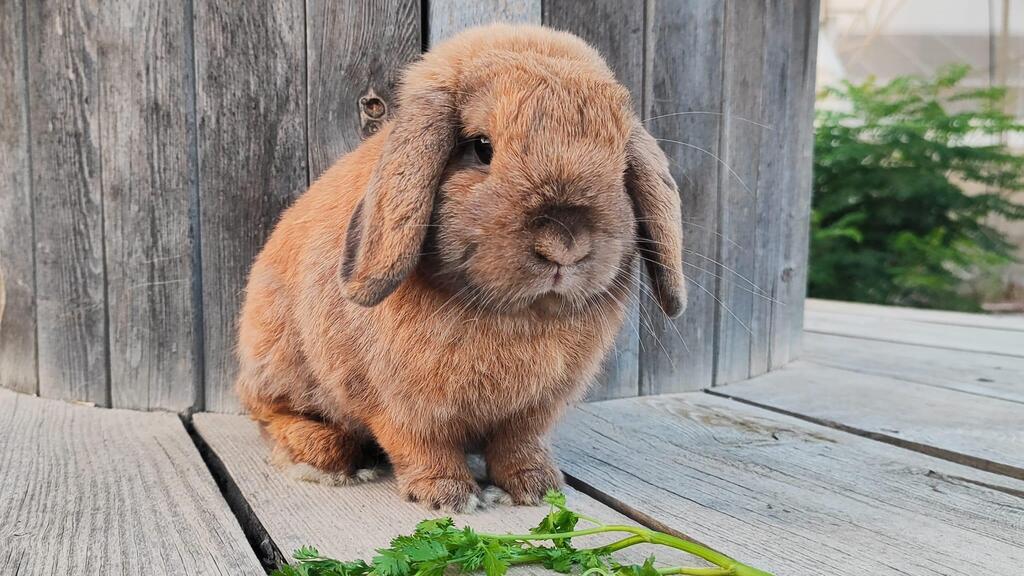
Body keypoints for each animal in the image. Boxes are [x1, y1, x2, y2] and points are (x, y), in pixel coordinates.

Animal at [235, 23, 685, 512]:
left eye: (620, 163)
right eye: (481, 148)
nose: (564, 245)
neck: (516, 314)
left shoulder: (532, 411)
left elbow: (518, 445)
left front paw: (536, 487)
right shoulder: (401, 404)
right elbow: (421, 444)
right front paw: (446, 495)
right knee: (271, 415)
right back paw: (324, 457)